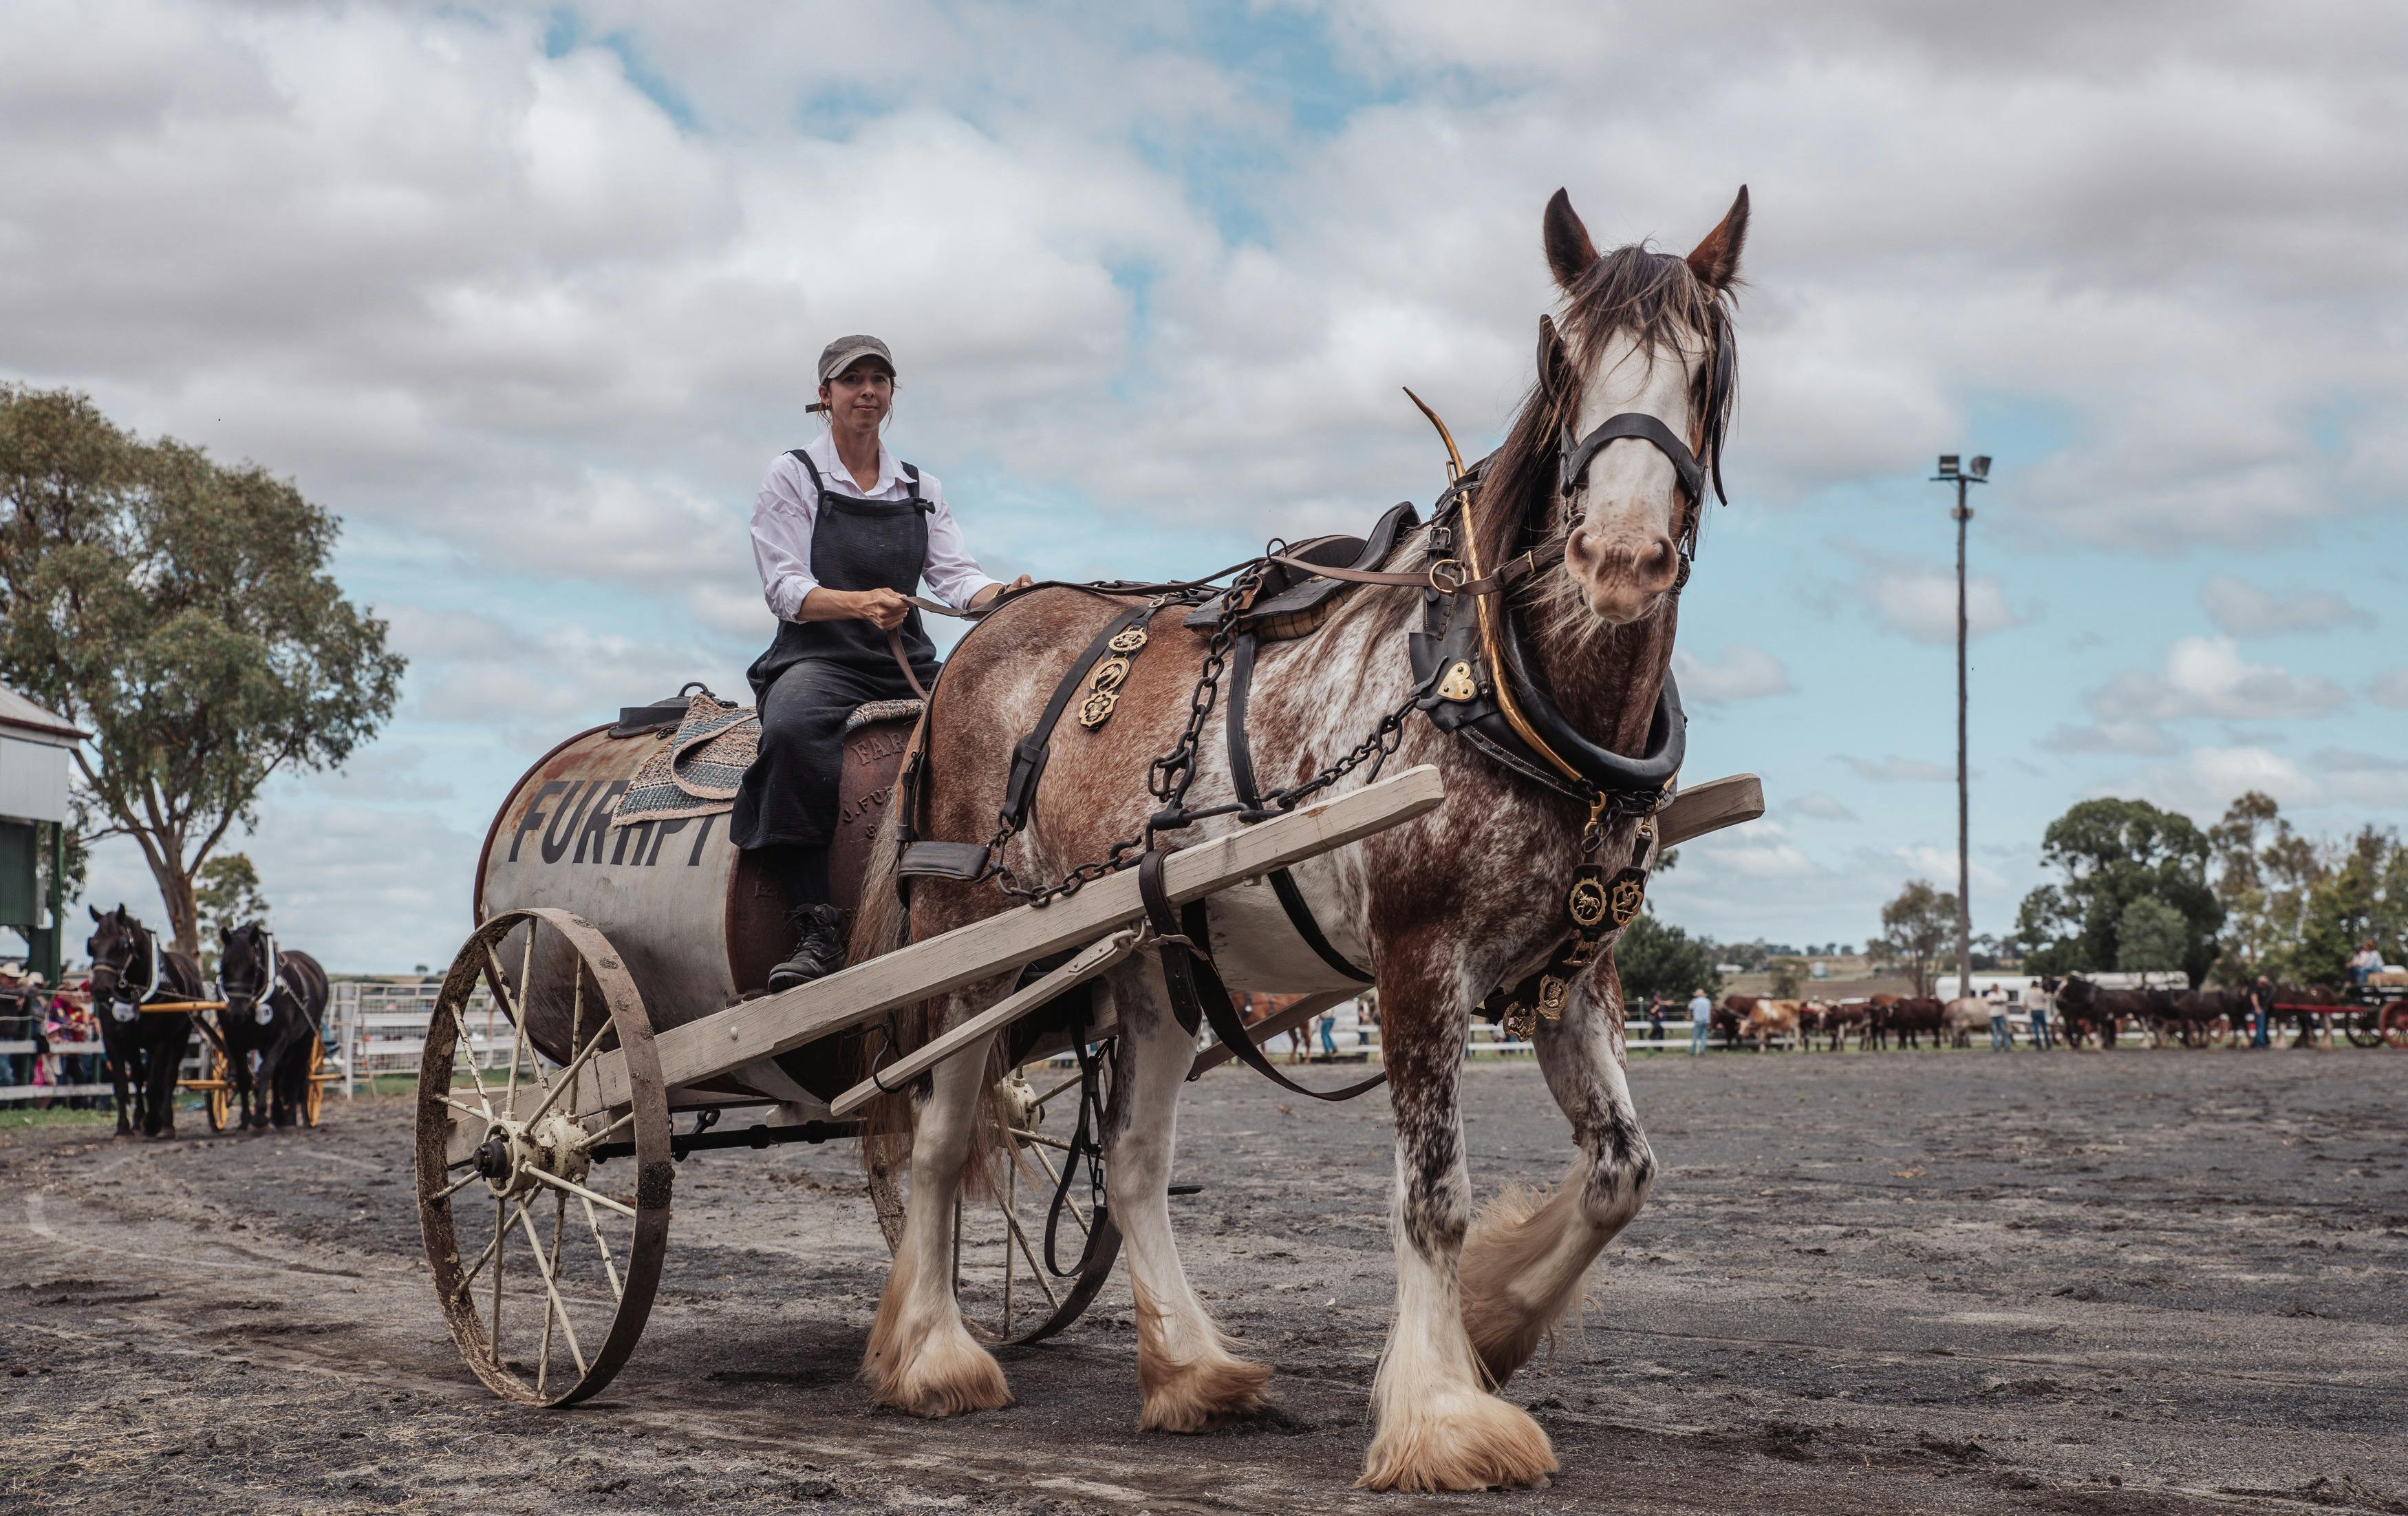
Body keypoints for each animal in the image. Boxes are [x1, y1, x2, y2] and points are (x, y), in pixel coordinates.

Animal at [84, 905, 205, 1138]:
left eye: (123, 944)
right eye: (92, 944)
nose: (101, 989)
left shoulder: (160, 1042)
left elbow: (155, 1083)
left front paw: (153, 1122)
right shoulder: (116, 1041)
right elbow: (125, 1085)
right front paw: (125, 1127)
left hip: (180, 1037)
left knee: (168, 1077)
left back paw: (165, 1122)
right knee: (141, 1076)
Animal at [215, 923, 330, 1129]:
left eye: (253, 968)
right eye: (224, 966)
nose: (236, 1012)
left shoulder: (280, 1038)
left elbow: (266, 1070)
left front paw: (260, 1116)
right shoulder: (234, 1041)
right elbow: (244, 1076)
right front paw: (245, 1119)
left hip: (306, 1037)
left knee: (297, 1072)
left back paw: (294, 1117)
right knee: (279, 1074)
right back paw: (278, 1115)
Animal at [850, 184, 1749, 1491]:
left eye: (1708, 367)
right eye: (1562, 361)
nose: (1619, 557)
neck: (1496, 684)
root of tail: (974, 644)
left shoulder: (1571, 969)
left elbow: (1623, 1171)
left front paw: (1491, 1325)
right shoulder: (1419, 957)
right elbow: (1432, 1194)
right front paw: (1444, 1414)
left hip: (1153, 957)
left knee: (1129, 1158)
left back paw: (1190, 1370)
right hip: (974, 943)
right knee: (937, 1137)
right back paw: (932, 1355)